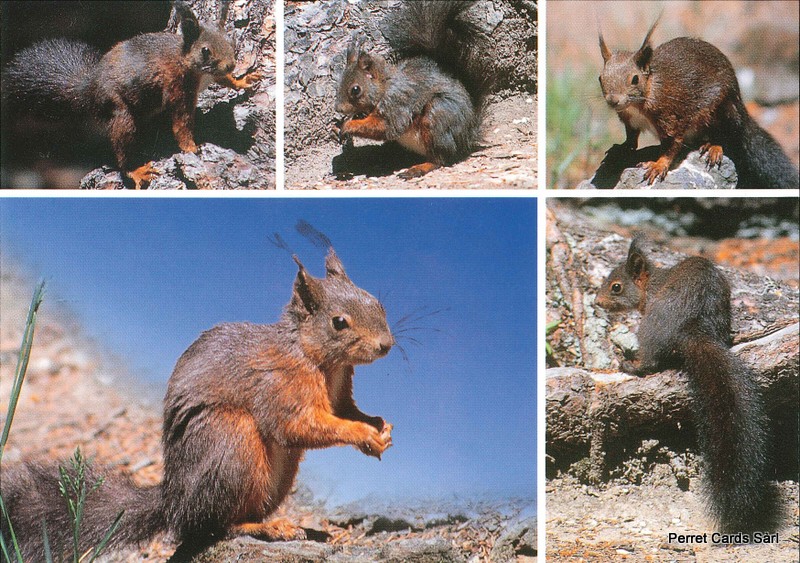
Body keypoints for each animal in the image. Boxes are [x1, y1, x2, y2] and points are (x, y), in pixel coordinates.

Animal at [1, 247, 394, 559]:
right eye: (339, 322)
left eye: (378, 302)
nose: (386, 345)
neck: (319, 359)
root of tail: (173, 503)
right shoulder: (280, 387)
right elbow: (299, 426)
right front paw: (362, 433)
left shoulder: (340, 391)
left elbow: (344, 411)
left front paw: (379, 426)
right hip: (231, 441)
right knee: (216, 525)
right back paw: (266, 528)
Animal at [2, 1, 262, 189]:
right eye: (205, 50)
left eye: (231, 41)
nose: (230, 64)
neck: (186, 60)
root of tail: (88, 89)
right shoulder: (178, 88)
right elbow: (181, 122)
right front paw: (190, 147)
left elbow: (225, 80)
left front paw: (242, 80)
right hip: (119, 112)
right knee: (122, 146)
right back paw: (135, 171)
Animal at [335, 0, 491, 179]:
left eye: (355, 89)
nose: (338, 108)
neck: (384, 86)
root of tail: (468, 135)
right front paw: (344, 124)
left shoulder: (396, 104)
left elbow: (386, 127)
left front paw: (348, 126)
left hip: (437, 118)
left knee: (440, 159)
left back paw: (417, 168)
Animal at [595, 235, 779, 533]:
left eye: (616, 287)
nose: (597, 302)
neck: (650, 284)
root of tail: (693, 327)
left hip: (649, 329)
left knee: (649, 363)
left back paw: (630, 364)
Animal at [598, 17, 799, 189]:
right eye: (600, 77)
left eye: (634, 79)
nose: (613, 100)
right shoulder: (630, 120)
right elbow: (631, 139)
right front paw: (620, 149)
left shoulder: (671, 117)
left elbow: (672, 146)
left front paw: (658, 165)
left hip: (723, 110)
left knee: (726, 135)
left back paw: (714, 147)